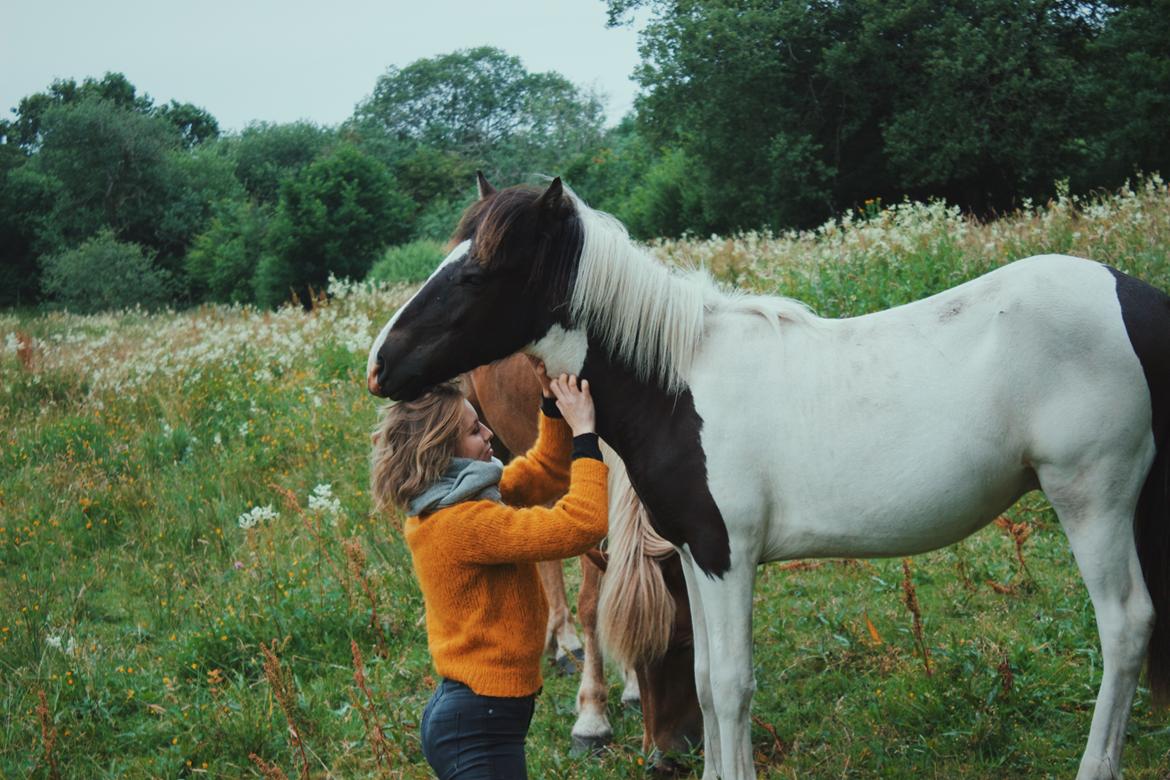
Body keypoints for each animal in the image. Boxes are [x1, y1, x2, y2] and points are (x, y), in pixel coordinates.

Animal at [463, 355, 702, 776]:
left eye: (689, 640)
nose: (667, 759)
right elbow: (592, 607)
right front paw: (592, 721)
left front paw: (629, 688)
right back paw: (564, 642)